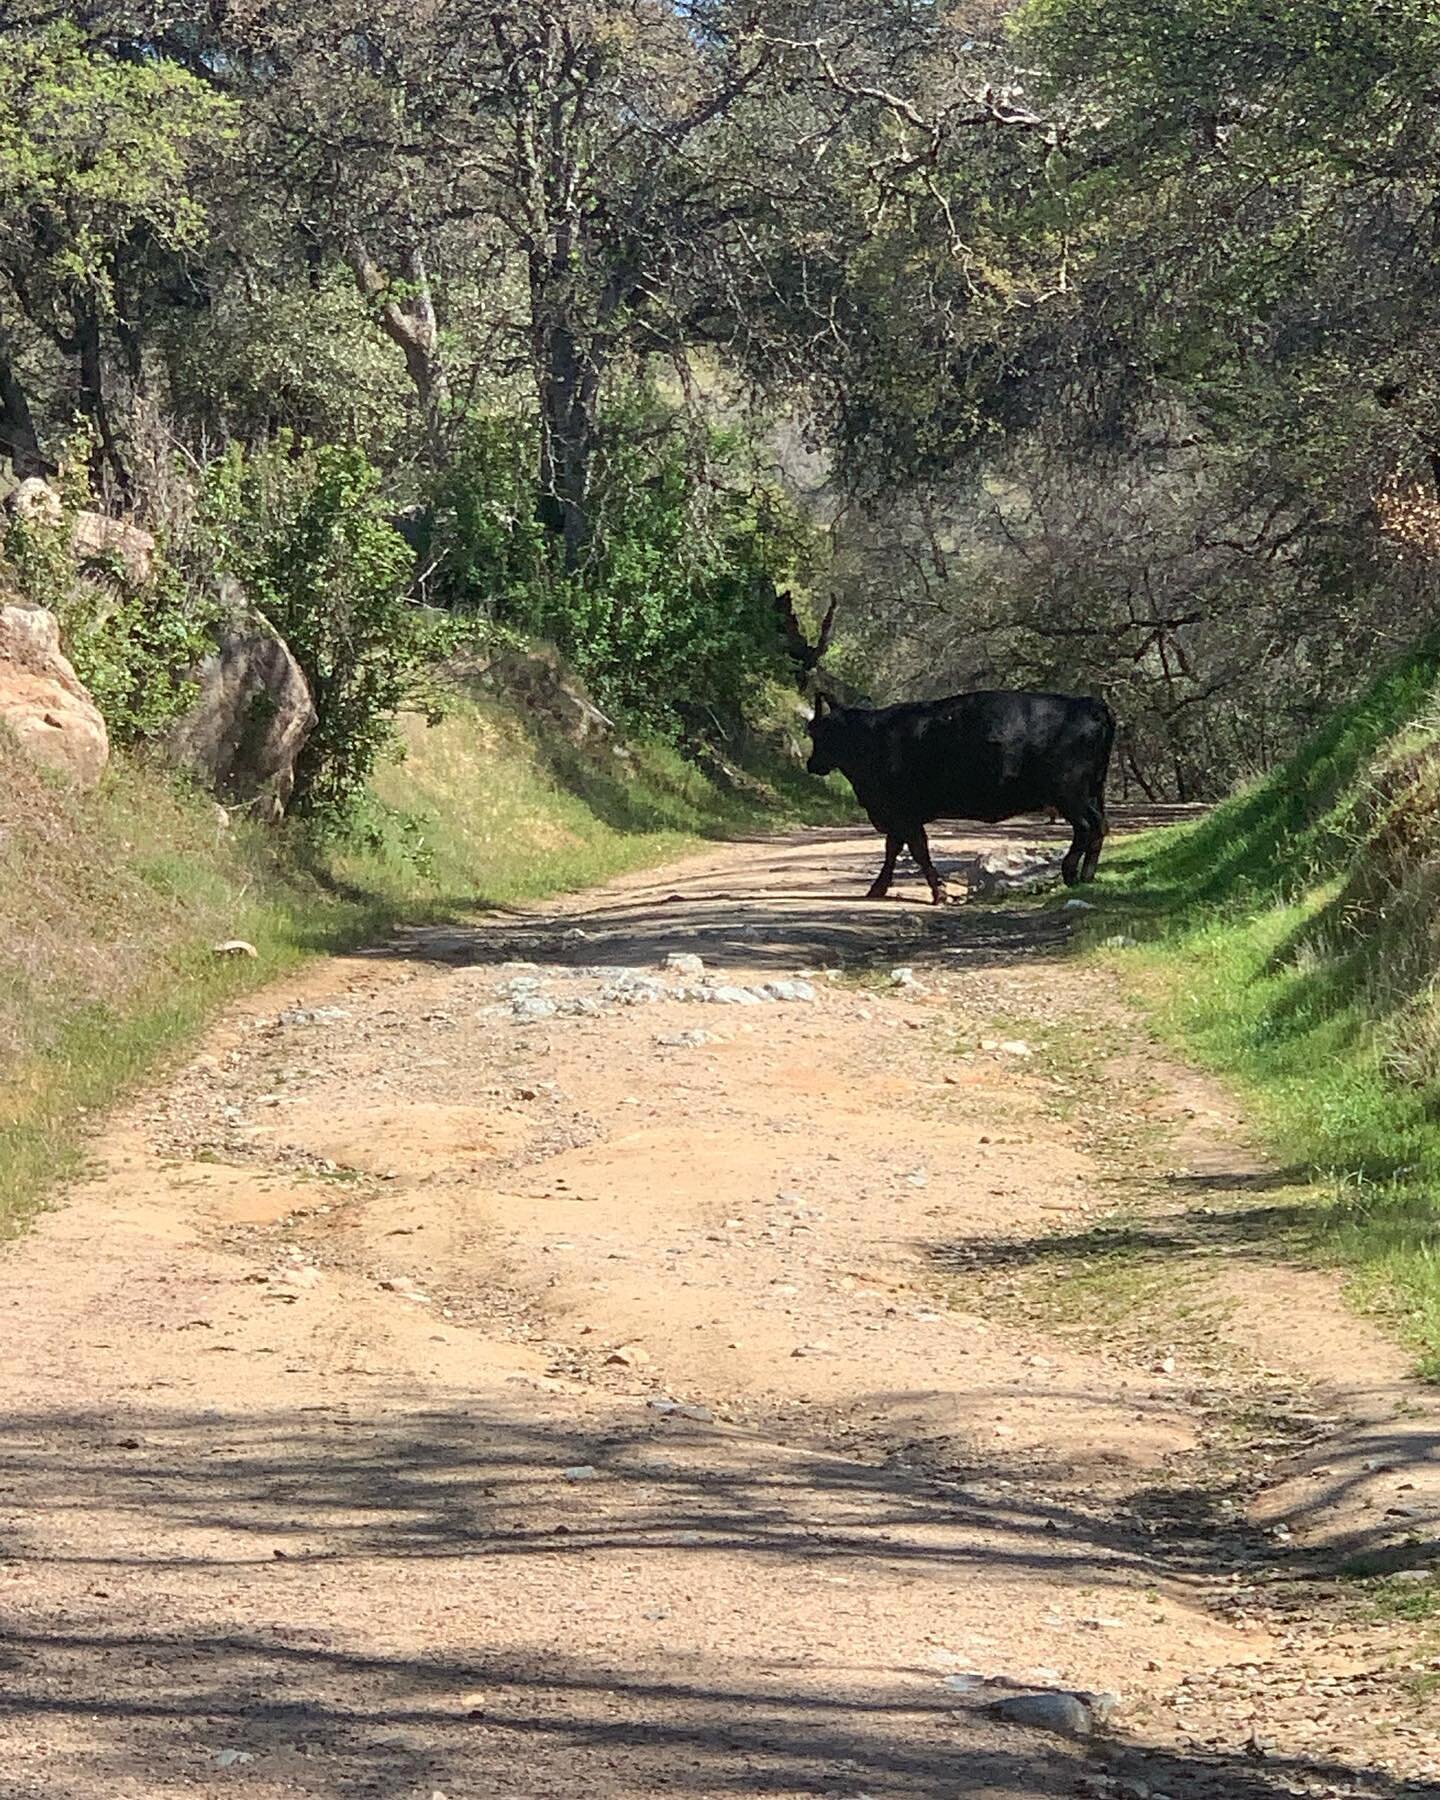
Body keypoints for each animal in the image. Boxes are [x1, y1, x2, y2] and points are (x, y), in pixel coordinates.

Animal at [802, 694, 1116, 907]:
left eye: (821, 734)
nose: (811, 764)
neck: (872, 737)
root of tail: (1089, 704)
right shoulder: (899, 815)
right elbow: (896, 849)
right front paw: (881, 887)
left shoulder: (901, 813)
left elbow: (916, 850)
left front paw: (936, 892)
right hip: (1091, 793)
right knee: (1099, 827)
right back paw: (1086, 875)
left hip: (1071, 794)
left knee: (1088, 826)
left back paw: (1071, 873)